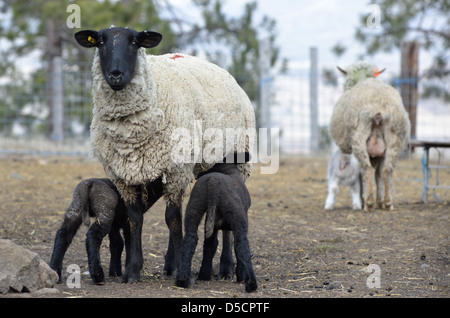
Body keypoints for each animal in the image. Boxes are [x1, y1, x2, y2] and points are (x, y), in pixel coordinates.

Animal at [176, 154, 256, 294]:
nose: (198, 174)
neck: (227, 169)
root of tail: (213, 183)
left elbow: (211, 245)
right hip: (238, 216)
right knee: (241, 244)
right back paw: (251, 284)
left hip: (194, 207)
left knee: (190, 240)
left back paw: (184, 279)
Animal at [328, 61, 410, 211]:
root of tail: (378, 108)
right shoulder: (380, 154)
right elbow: (379, 175)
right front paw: (380, 201)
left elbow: (362, 175)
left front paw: (364, 198)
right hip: (395, 139)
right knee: (387, 170)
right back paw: (388, 203)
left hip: (359, 138)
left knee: (366, 169)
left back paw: (368, 202)